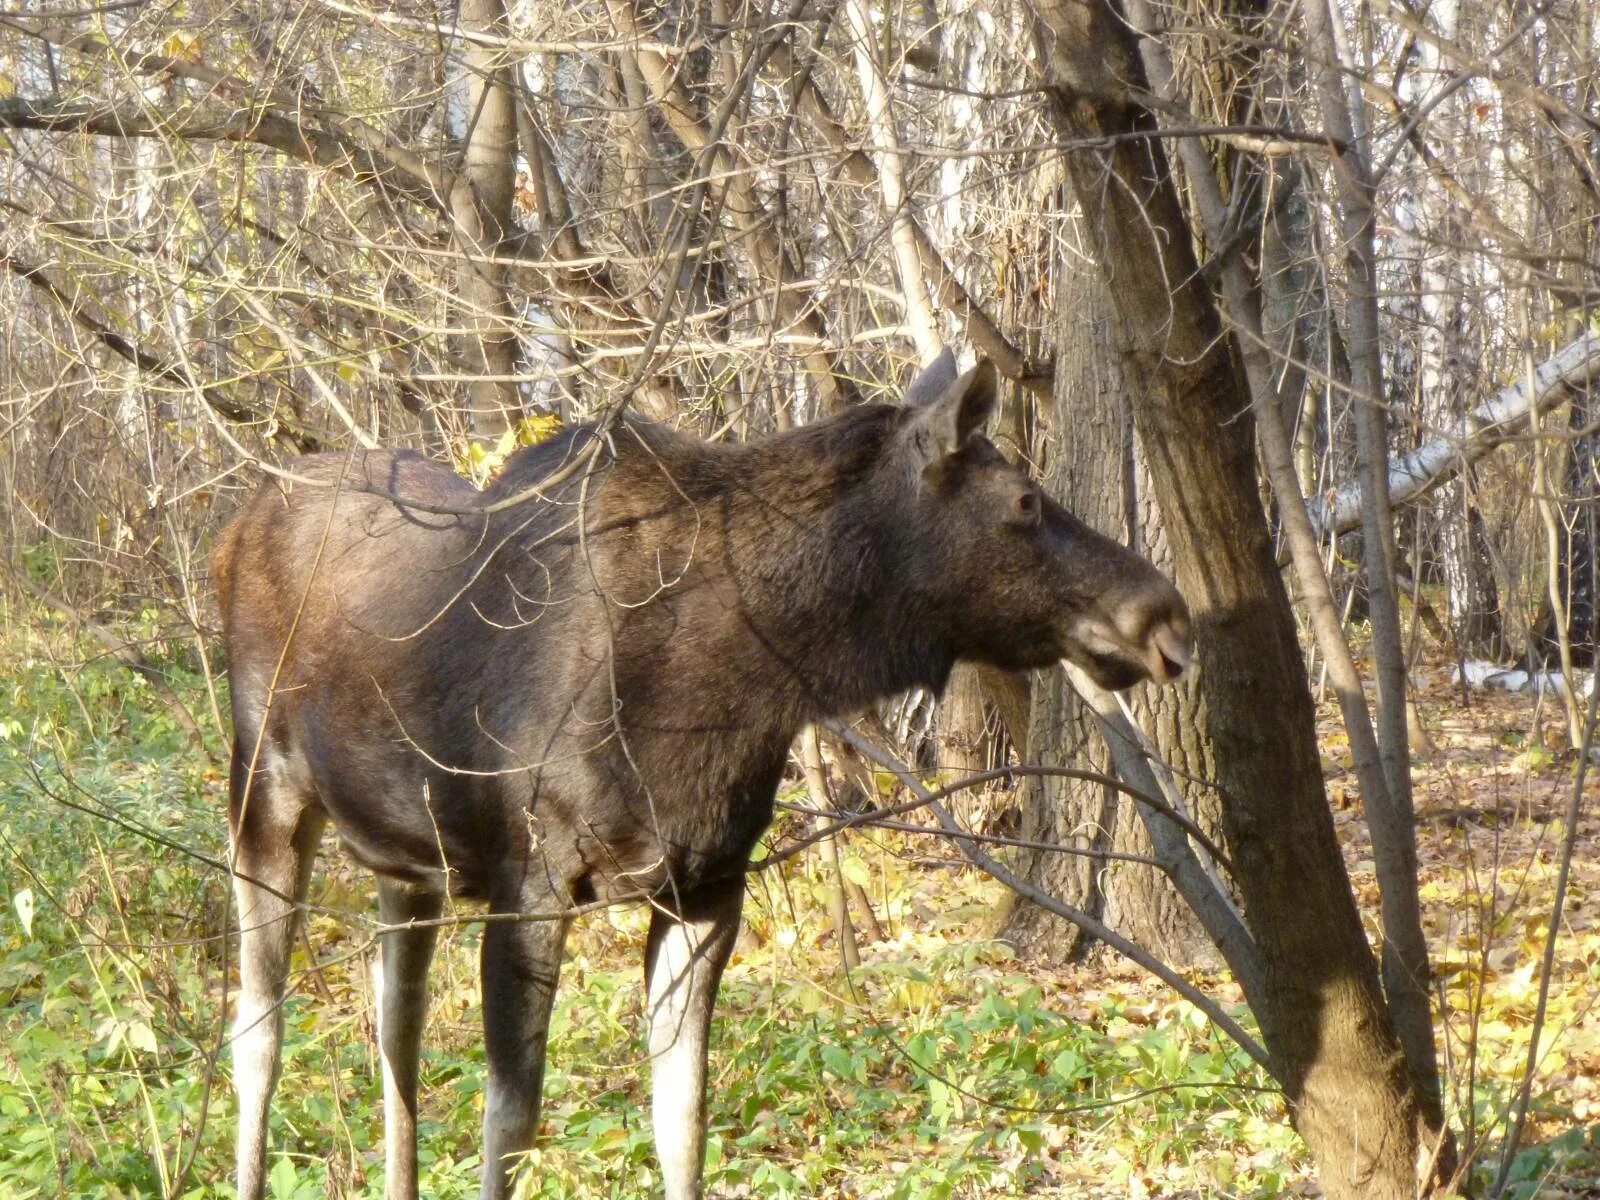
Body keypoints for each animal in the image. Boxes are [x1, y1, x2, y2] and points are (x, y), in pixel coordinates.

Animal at [212, 350, 1190, 1200]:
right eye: (1025, 499)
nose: (1166, 612)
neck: (740, 680)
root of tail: (236, 520)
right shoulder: (533, 883)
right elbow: (512, 1130)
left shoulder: (706, 888)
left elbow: (683, 1125)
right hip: (263, 792)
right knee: (258, 1032)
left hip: (406, 864)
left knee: (395, 1036)